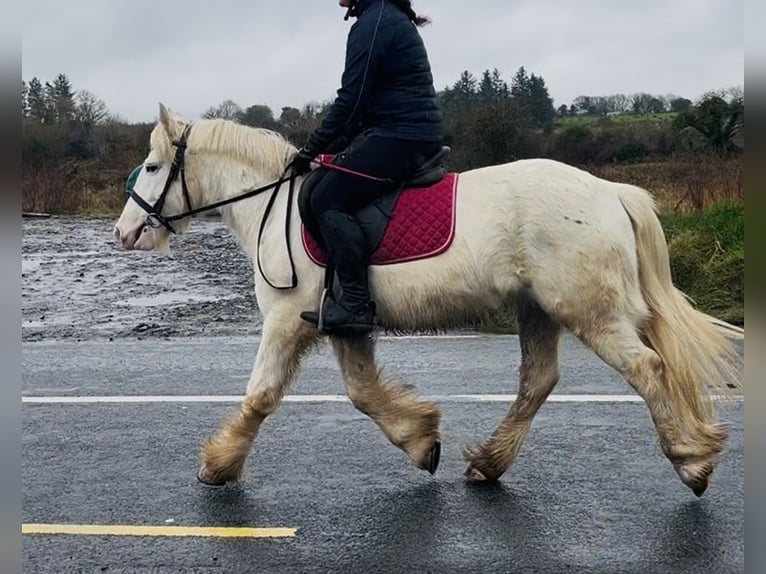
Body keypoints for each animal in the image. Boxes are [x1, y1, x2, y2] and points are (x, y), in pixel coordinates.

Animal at [115, 103, 743, 497]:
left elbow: (262, 395)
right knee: (538, 380)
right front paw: (420, 440)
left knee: (648, 369)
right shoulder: (343, 324)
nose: (125, 233)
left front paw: (217, 467)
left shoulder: (287, 322)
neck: (278, 209)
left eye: (152, 166)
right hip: (538, 308)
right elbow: (363, 393)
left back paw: (691, 461)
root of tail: (611, 191)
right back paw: (488, 463)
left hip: (588, 311)